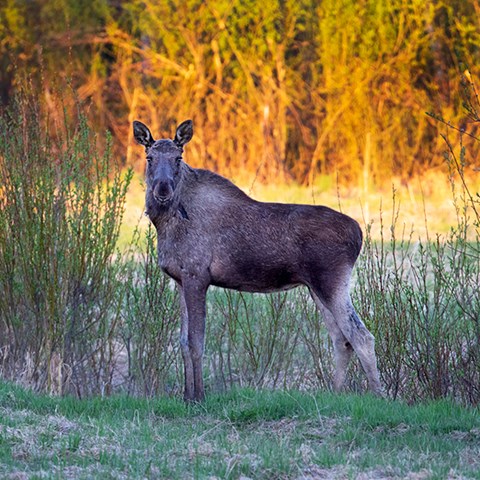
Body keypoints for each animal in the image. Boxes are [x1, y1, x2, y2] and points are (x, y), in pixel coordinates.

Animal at [133, 120, 380, 402]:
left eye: (178, 157)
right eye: (149, 157)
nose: (162, 189)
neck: (166, 224)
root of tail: (359, 233)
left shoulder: (197, 275)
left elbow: (196, 342)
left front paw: (199, 398)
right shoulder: (180, 280)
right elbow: (184, 342)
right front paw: (186, 397)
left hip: (331, 282)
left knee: (361, 336)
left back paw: (379, 396)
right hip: (316, 287)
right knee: (341, 339)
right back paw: (335, 394)